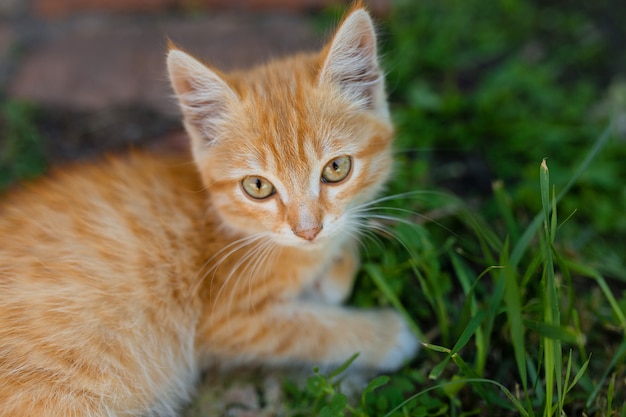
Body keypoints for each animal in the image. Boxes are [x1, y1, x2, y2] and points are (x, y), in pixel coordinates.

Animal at [0, 4, 420, 416]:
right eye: (258, 187)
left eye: (336, 168)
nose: (307, 230)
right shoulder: (228, 320)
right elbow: (309, 328)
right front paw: (386, 334)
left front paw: (335, 266)